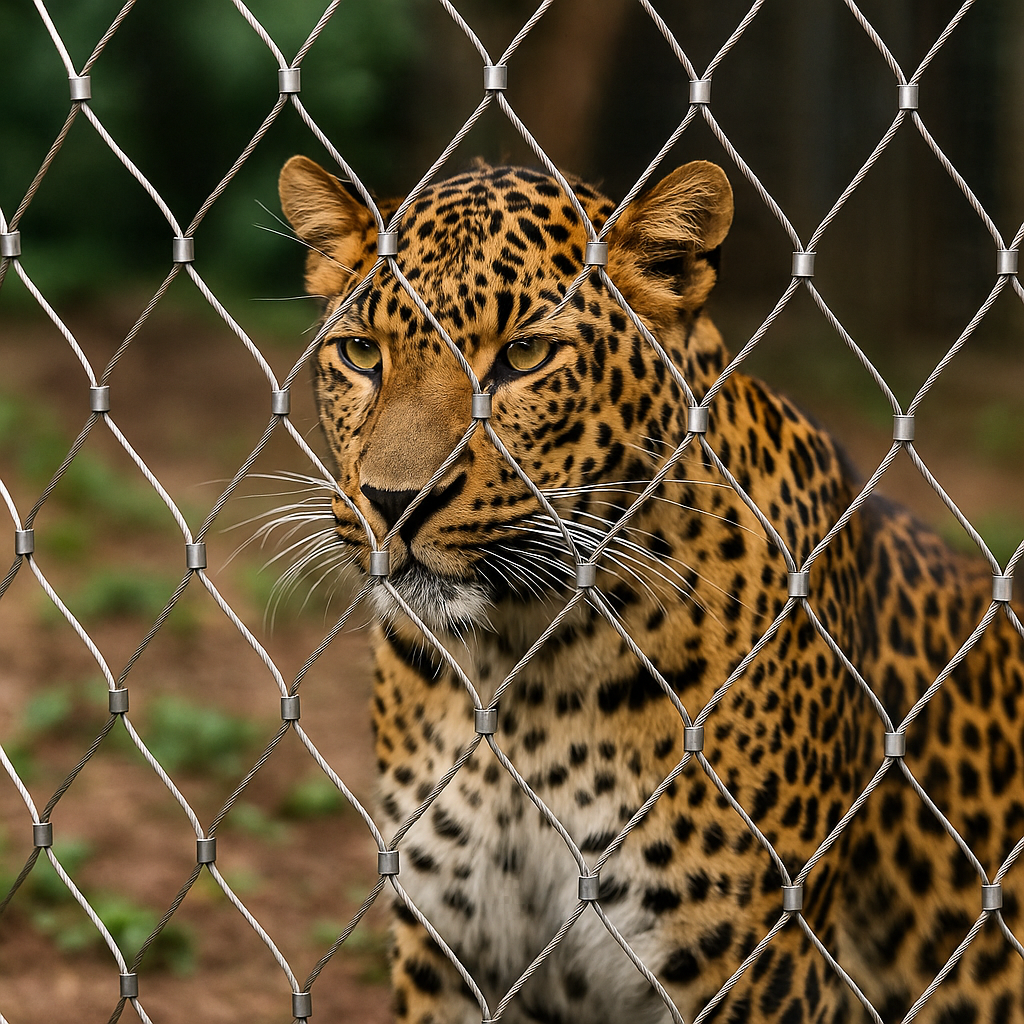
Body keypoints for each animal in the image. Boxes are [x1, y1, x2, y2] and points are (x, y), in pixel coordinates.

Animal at [277, 154, 1024, 1024]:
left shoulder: (757, 967)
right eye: (362, 354)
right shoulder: (450, 952)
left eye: (525, 356)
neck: (519, 662)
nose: (395, 502)